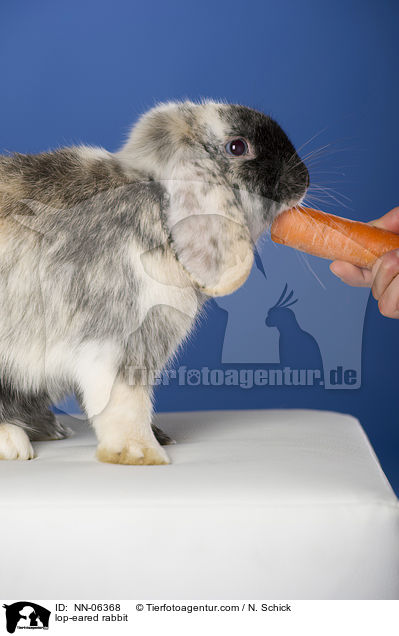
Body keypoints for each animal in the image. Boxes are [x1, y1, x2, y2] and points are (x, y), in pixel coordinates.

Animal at [0, 102, 310, 464]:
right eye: (237, 147)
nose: (304, 180)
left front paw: (159, 439)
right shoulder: (118, 345)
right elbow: (125, 404)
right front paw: (142, 454)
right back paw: (13, 442)